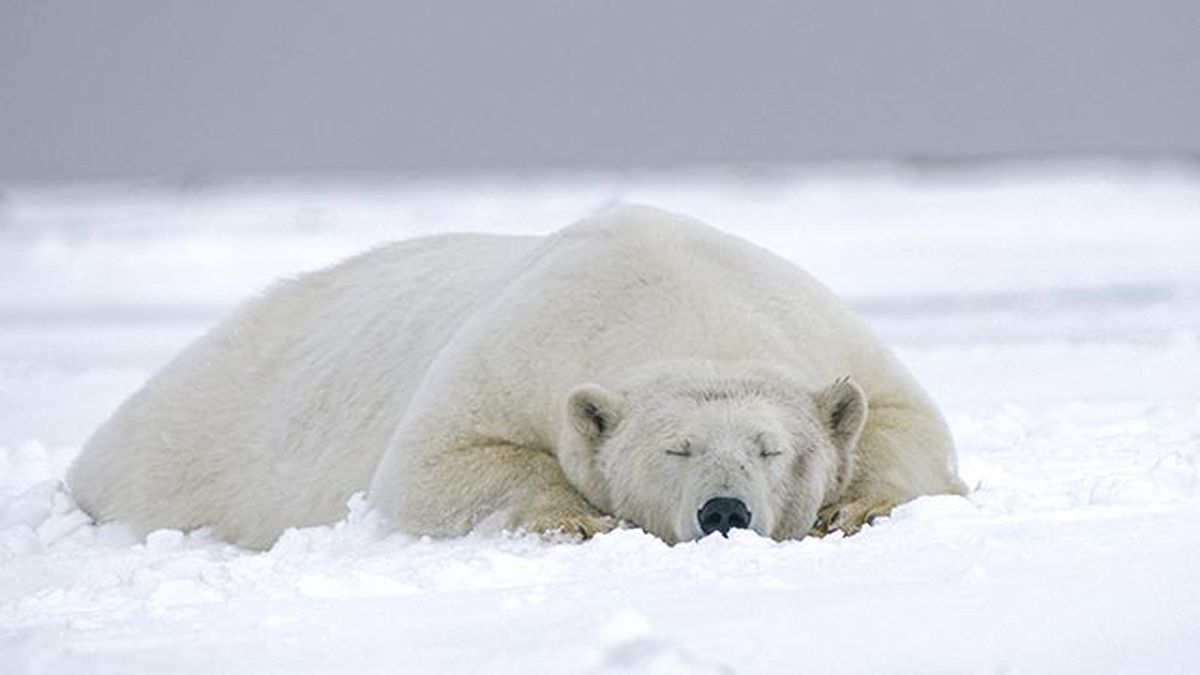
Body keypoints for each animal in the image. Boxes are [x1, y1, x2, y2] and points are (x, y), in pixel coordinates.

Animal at [68, 205, 966, 549]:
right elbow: (435, 465)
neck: (678, 298)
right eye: (674, 449)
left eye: (770, 447)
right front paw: (578, 519)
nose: (724, 510)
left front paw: (854, 507)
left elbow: (907, 423)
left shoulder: (817, 325)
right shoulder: (520, 348)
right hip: (188, 445)